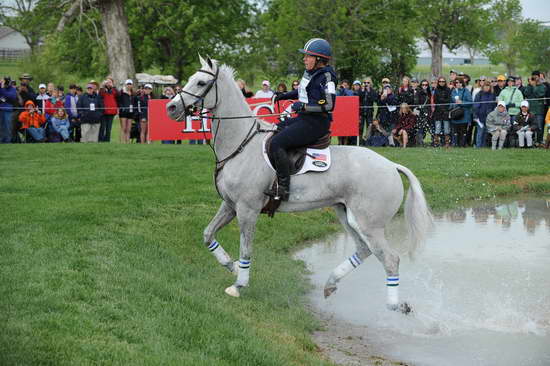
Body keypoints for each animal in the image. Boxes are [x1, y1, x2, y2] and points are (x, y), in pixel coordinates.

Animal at [166, 56, 434, 312]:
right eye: (191, 79)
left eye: (201, 83)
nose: (171, 107)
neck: (241, 144)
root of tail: (391, 165)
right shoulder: (230, 206)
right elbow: (207, 235)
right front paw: (230, 266)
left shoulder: (247, 210)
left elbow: (246, 249)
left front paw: (239, 284)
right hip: (347, 215)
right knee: (364, 250)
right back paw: (330, 284)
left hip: (370, 224)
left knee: (390, 259)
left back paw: (395, 305)